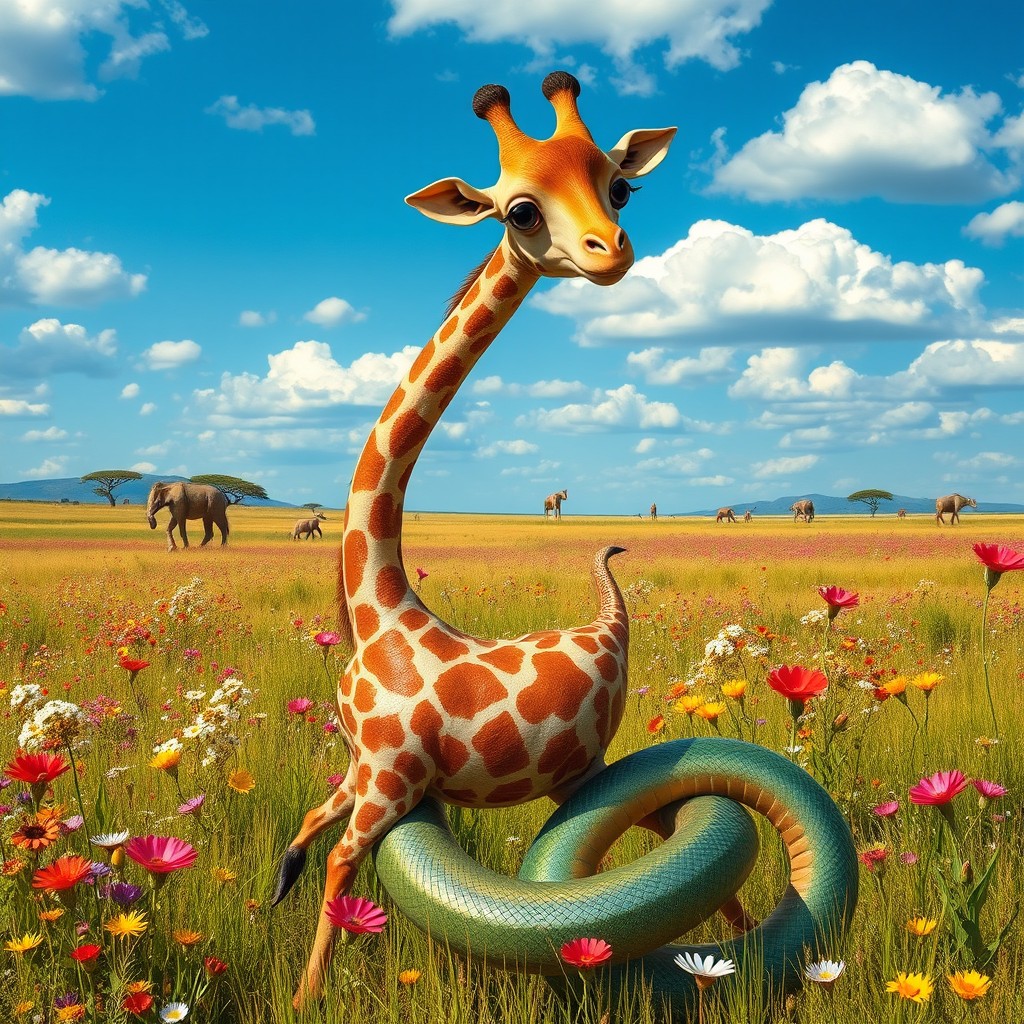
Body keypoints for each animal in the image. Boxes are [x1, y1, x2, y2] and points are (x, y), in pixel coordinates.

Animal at [272, 72, 676, 1007]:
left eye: (620, 188)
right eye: (519, 210)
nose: (611, 249)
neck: (382, 611)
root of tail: (612, 628)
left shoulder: (389, 781)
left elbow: (342, 868)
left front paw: (304, 997)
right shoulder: (366, 771)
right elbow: (309, 828)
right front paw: (269, 899)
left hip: (584, 772)